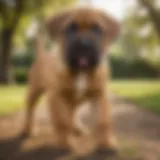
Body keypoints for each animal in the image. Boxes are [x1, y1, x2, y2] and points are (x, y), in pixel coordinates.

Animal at [21, 7, 120, 155]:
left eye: (97, 29)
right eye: (71, 28)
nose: (84, 44)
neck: (81, 71)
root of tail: (42, 54)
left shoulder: (99, 96)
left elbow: (102, 122)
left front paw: (106, 144)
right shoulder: (58, 96)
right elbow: (63, 122)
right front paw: (65, 144)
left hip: (74, 99)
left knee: (73, 112)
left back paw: (77, 128)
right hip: (34, 91)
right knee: (30, 110)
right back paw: (28, 129)